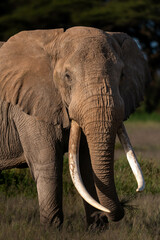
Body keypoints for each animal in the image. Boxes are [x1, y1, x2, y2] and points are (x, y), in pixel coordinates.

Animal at [0, 27, 151, 230]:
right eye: (67, 77)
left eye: (122, 76)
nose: (124, 204)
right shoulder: (28, 108)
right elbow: (49, 165)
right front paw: (50, 231)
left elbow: (87, 166)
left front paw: (96, 229)